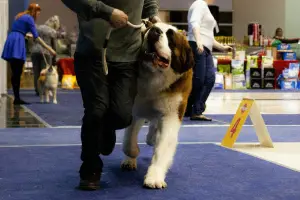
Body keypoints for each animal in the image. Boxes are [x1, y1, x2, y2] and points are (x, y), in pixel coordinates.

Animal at [121, 21, 195, 189]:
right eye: (149, 29)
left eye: (170, 37)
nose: (154, 31)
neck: (153, 78)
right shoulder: (134, 112)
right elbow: (129, 139)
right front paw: (132, 154)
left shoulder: (171, 116)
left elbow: (162, 147)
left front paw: (154, 177)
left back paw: (152, 138)